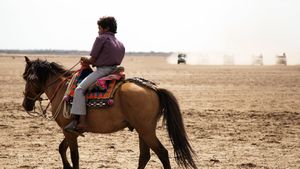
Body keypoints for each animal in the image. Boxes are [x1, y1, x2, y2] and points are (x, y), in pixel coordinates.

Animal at [21, 56, 199, 168]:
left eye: (27, 78)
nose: (26, 104)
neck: (62, 89)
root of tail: (154, 89)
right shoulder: (71, 131)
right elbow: (61, 149)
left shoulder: (69, 131)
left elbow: (74, 156)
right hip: (143, 130)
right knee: (145, 155)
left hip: (146, 130)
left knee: (162, 153)